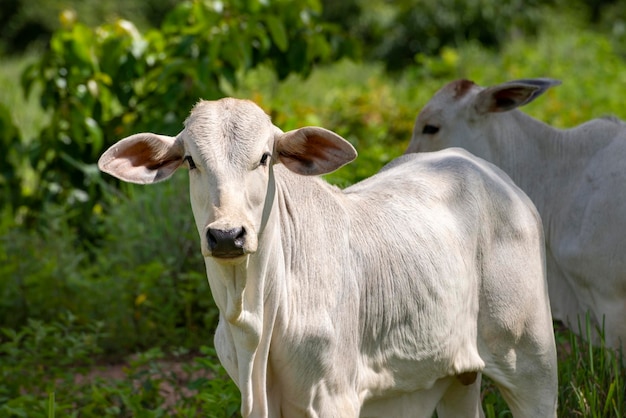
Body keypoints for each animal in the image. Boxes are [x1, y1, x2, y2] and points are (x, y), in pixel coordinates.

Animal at [97, 99, 556, 418]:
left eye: (264, 158)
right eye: (191, 161)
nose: (226, 234)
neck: (254, 315)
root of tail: (492, 175)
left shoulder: (332, 398)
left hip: (533, 361)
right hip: (457, 374)